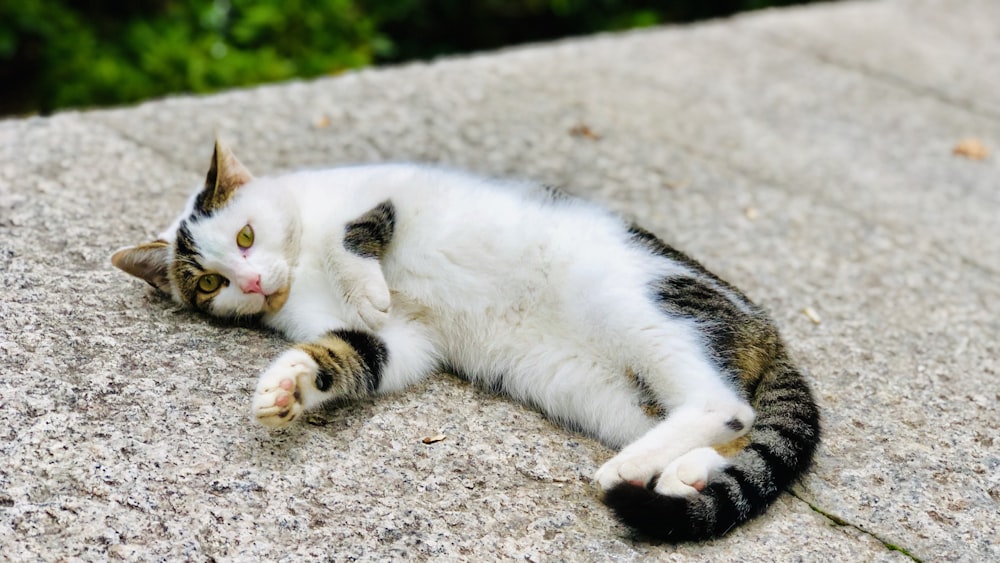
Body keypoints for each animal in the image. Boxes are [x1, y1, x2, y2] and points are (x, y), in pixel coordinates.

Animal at [113, 141, 824, 540]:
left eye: (244, 235)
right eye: (210, 282)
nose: (256, 281)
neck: (301, 253)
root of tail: (767, 330)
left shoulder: (398, 191)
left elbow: (355, 232)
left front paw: (367, 285)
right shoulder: (404, 341)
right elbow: (352, 352)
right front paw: (287, 388)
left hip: (638, 304)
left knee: (724, 405)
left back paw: (629, 470)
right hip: (605, 395)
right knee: (732, 429)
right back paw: (676, 474)